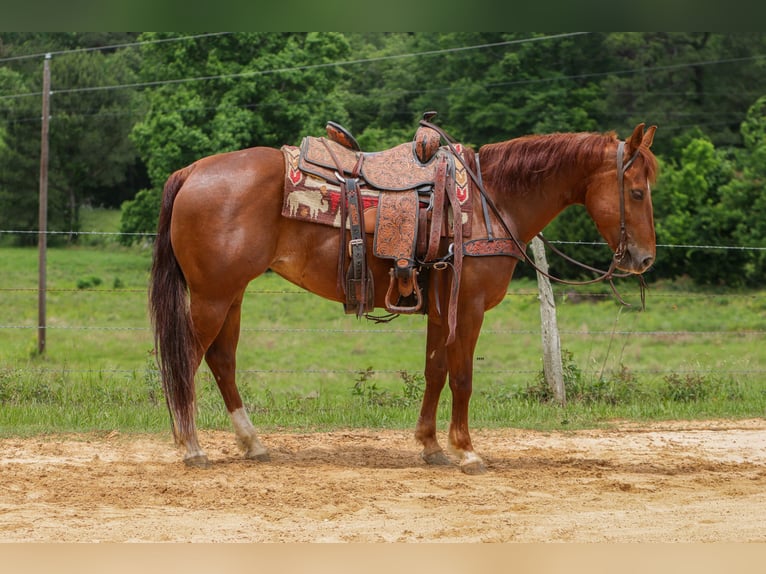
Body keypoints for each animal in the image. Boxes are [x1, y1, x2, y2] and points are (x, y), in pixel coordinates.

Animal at [149, 122, 658, 474]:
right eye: (636, 192)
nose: (644, 258)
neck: (490, 203)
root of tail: (192, 171)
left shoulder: (439, 307)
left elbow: (435, 371)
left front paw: (431, 446)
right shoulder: (468, 308)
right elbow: (463, 377)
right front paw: (466, 450)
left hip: (231, 295)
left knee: (221, 361)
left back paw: (252, 443)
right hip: (213, 296)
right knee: (186, 360)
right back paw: (191, 446)